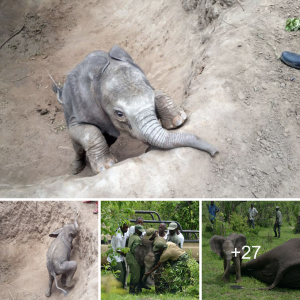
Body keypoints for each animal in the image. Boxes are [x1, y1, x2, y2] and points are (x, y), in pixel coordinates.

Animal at [50, 45, 217, 175]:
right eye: (119, 114)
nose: (215, 152)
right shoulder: (80, 107)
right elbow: (86, 130)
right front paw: (106, 167)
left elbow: (158, 92)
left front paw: (178, 121)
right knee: (77, 144)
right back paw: (75, 169)